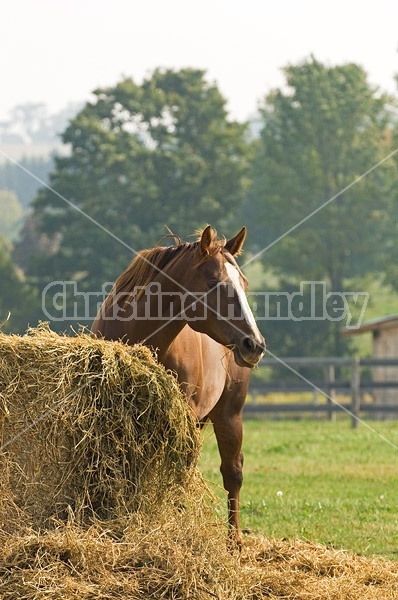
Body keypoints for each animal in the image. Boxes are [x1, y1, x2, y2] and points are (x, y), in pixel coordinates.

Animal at [91, 225, 266, 544]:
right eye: (213, 283)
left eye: (244, 284)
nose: (255, 344)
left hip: (228, 416)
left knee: (231, 474)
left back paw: (234, 541)